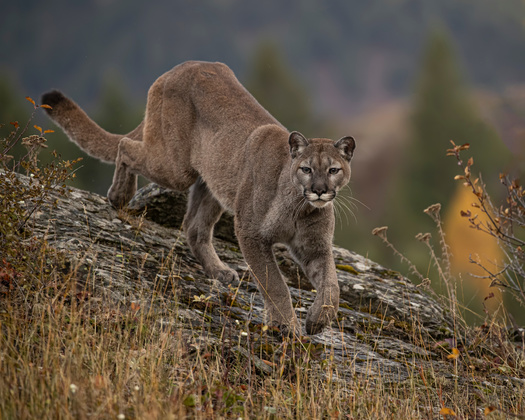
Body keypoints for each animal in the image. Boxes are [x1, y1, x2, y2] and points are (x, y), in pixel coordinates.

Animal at [41, 60, 354, 334]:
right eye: (306, 169)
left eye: (333, 170)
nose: (319, 190)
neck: (298, 207)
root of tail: (179, 67)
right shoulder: (251, 234)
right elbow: (274, 283)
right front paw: (287, 326)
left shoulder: (314, 247)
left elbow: (331, 284)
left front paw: (317, 320)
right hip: (175, 168)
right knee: (126, 146)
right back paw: (119, 196)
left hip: (212, 182)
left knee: (194, 227)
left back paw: (219, 271)